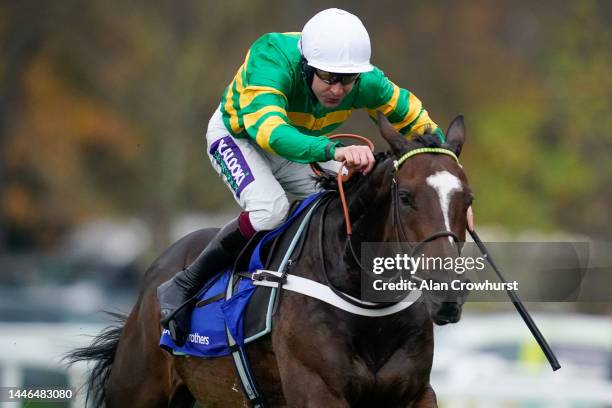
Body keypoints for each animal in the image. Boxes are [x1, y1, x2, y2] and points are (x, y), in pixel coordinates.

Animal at [68, 112, 474, 408]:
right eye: (405, 197)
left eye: (467, 198)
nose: (448, 293)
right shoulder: (317, 390)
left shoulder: (416, 393)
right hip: (138, 391)